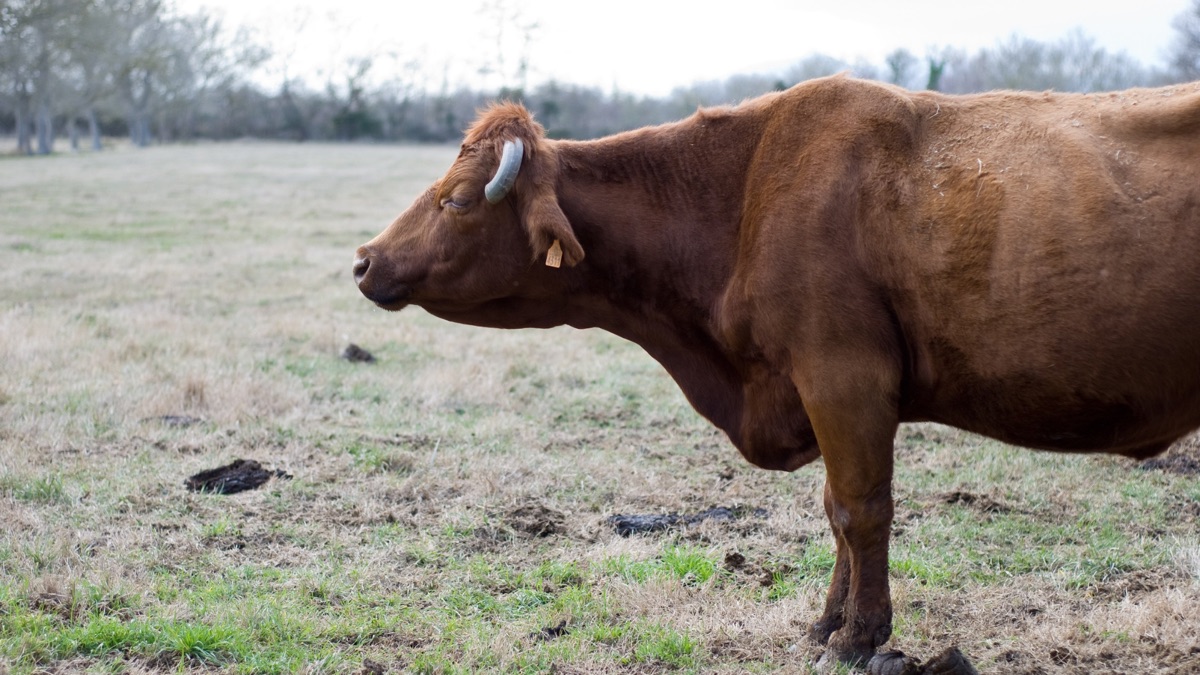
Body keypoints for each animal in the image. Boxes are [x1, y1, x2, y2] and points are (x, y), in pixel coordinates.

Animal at [353, 74, 1200, 670]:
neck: (742, 196)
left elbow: (861, 510)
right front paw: (825, 623)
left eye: (457, 200)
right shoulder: (820, 390)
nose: (364, 259)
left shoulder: (844, 378)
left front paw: (860, 637)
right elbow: (835, 510)